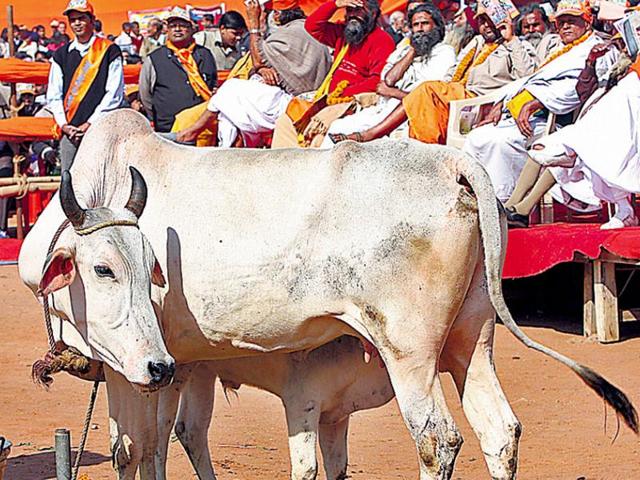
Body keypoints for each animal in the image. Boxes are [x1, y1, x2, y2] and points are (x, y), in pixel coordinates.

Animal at [18, 109, 636, 480]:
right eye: (104, 268)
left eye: (138, 268)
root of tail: (451, 160)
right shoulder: (175, 365)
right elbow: (159, 446)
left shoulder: (132, 365)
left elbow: (132, 450)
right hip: (470, 340)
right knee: (499, 431)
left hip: (410, 353)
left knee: (438, 440)